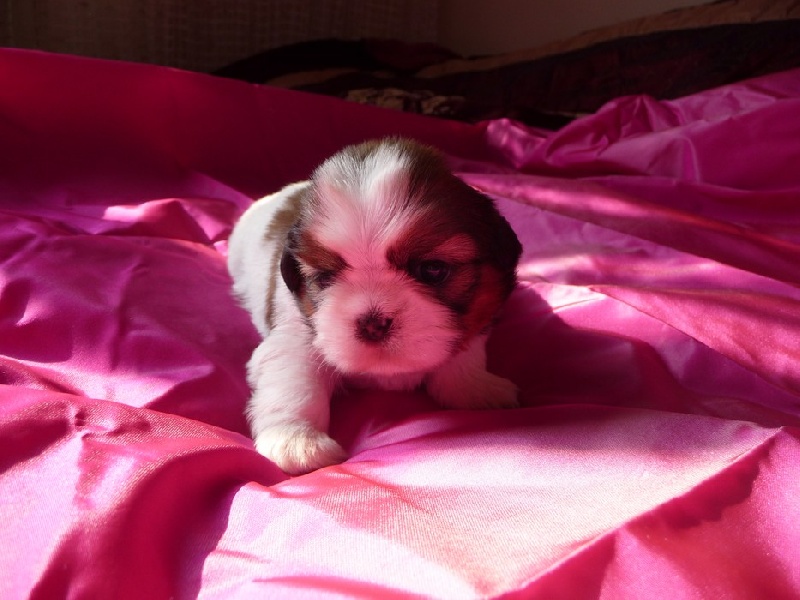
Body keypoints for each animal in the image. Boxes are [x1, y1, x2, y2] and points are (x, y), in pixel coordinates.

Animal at [227, 138, 522, 474]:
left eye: (433, 270)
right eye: (325, 277)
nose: (372, 322)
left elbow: (464, 352)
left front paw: (474, 388)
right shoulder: (295, 333)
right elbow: (294, 378)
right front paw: (296, 439)